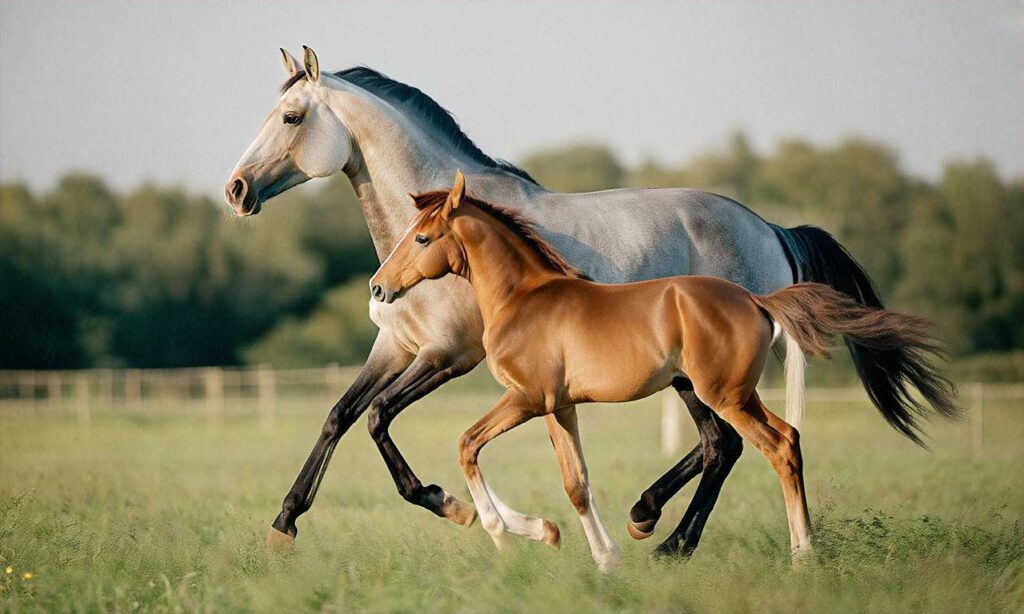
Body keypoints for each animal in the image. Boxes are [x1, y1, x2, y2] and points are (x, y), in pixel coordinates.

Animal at [372, 169, 954, 568]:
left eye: (421, 238)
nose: (380, 288)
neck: (525, 298)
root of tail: (757, 299)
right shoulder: (560, 407)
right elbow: (576, 482)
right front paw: (599, 556)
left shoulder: (526, 399)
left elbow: (467, 444)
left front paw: (497, 529)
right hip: (736, 394)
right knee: (782, 438)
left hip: (722, 397)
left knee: (771, 447)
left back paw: (798, 553)